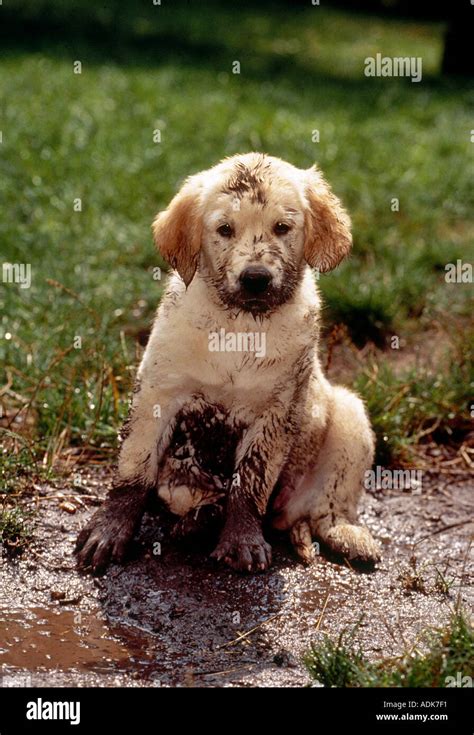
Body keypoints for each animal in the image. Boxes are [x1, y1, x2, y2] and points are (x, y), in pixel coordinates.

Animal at [77, 151, 382, 576]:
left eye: (282, 227)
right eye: (224, 229)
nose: (255, 278)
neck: (240, 326)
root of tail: (289, 517)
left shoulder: (277, 411)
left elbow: (250, 484)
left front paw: (242, 541)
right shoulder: (157, 392)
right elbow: (133, 470)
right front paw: (110, 529)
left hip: (350, 419)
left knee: (331, 506)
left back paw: (348, 536)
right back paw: (198, 523)